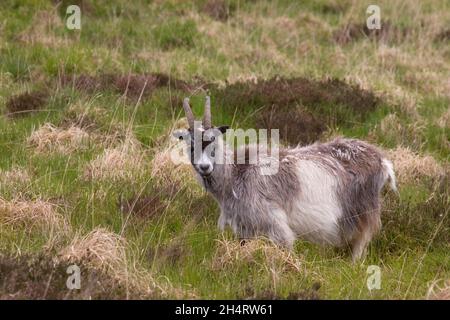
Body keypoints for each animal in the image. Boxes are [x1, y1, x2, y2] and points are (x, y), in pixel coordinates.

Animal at [176, 96, 398, 262]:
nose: (205, 167)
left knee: (359, 246)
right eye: (192, 146)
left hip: (364, 216)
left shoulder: (274, 223)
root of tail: (382, 161)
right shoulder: (245, 228)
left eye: (213, 141)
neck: (237, 172)